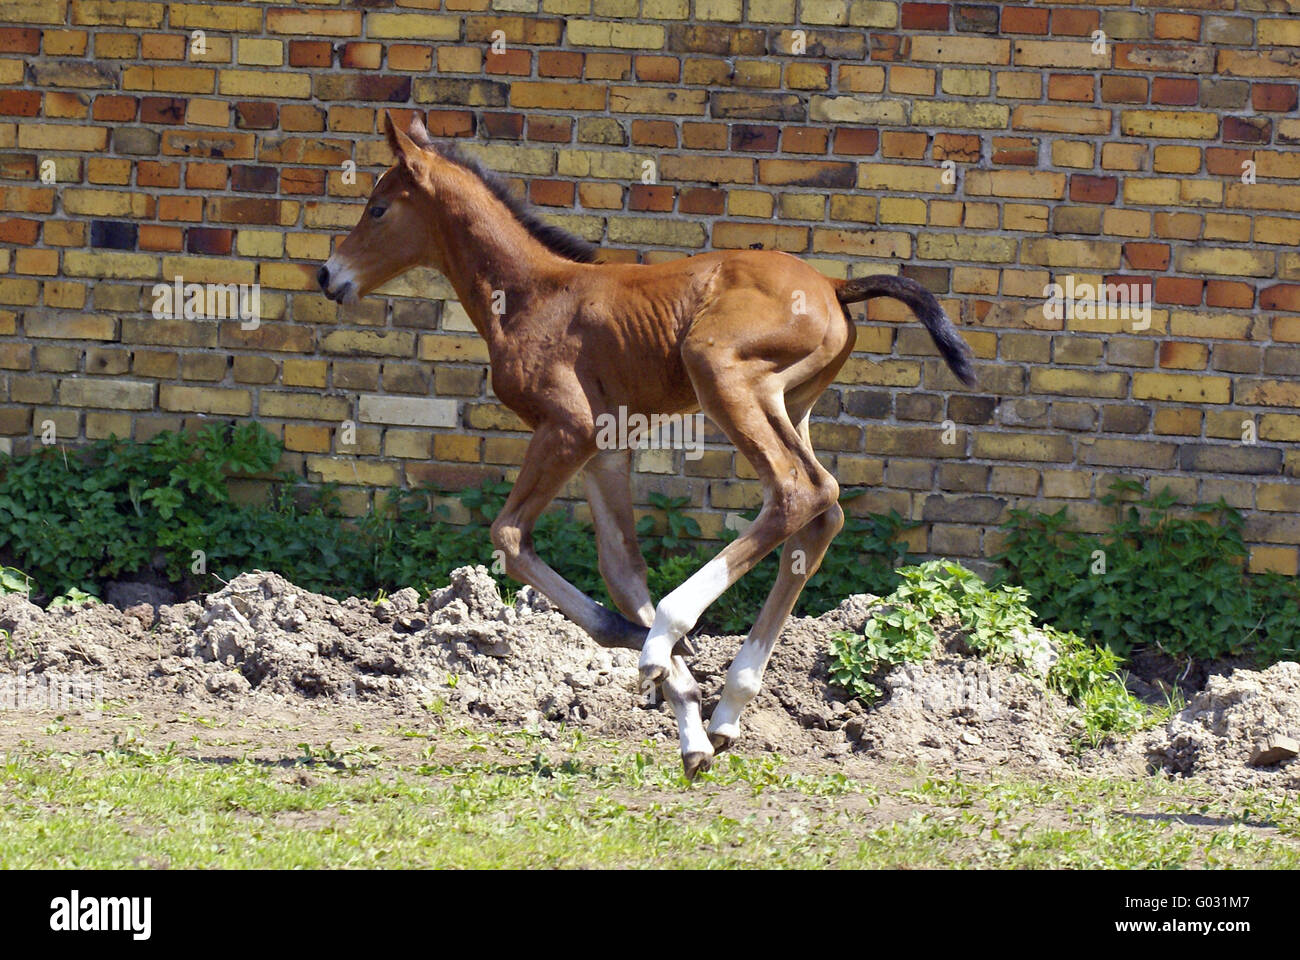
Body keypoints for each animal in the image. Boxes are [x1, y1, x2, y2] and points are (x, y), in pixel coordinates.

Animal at [322, 111, 977, 775]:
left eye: (378, 208)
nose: (329, 275)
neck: (532, 294)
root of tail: (834, 284)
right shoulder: (605, 447)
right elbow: (621, 568)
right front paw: (688, 724)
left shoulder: (568, 428)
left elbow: (509, 537)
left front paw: (656, 651)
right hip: (790, 404)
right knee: (823, 510)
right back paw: (728, 708)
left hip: (721, 373)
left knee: (798, 492)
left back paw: (673, 631)